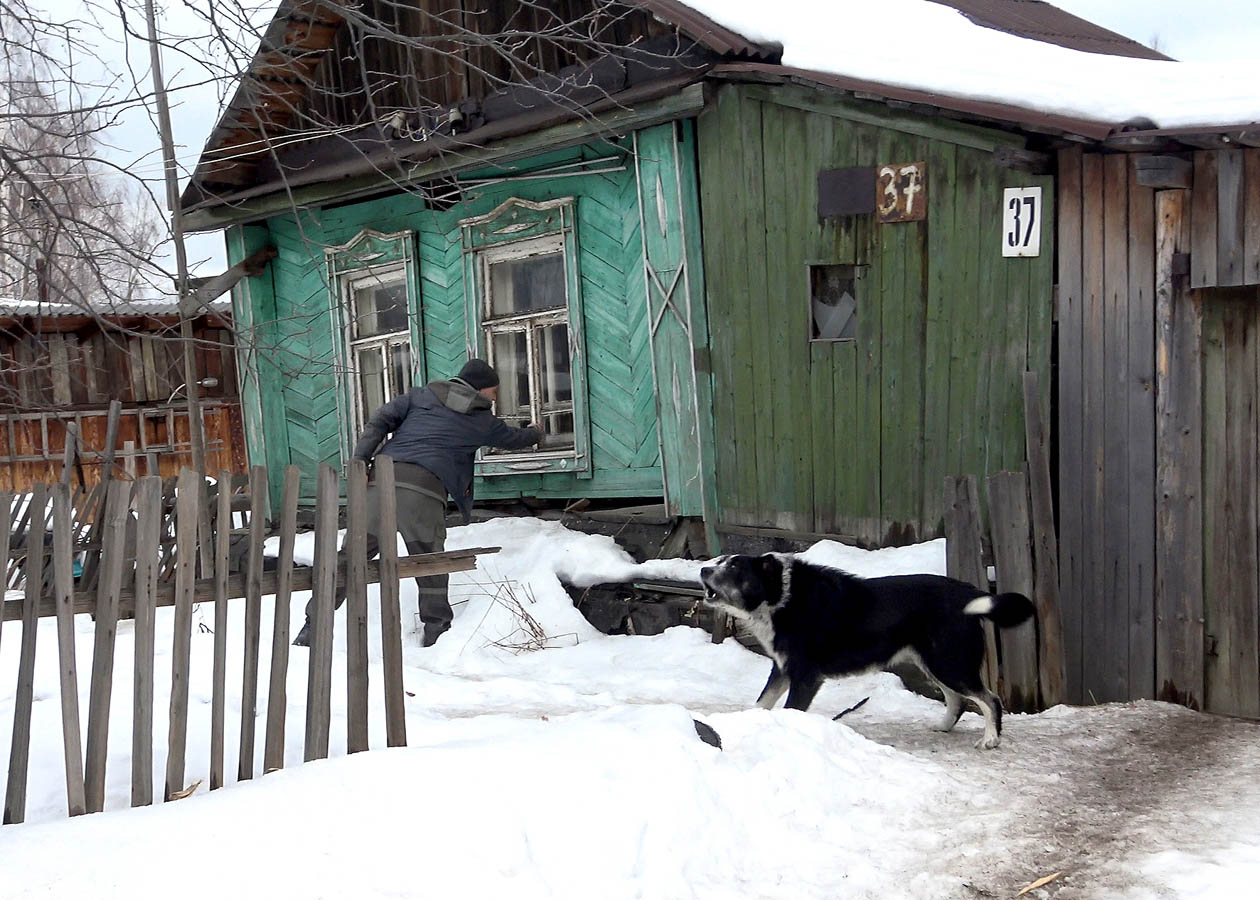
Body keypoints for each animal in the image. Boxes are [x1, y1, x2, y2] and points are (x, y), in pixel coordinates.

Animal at [700, 549, 1033, 746]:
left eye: (734, 565)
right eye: (720, 560)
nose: (703, 570)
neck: (781, 595)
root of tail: (968, 593)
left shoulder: (805, 676)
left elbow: (790, 709)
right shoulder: (782, 669)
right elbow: (761, 703)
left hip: (949, 663)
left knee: (990, 699)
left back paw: (990, 739)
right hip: (934, 663)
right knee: (958, 700)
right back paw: (943, 727)